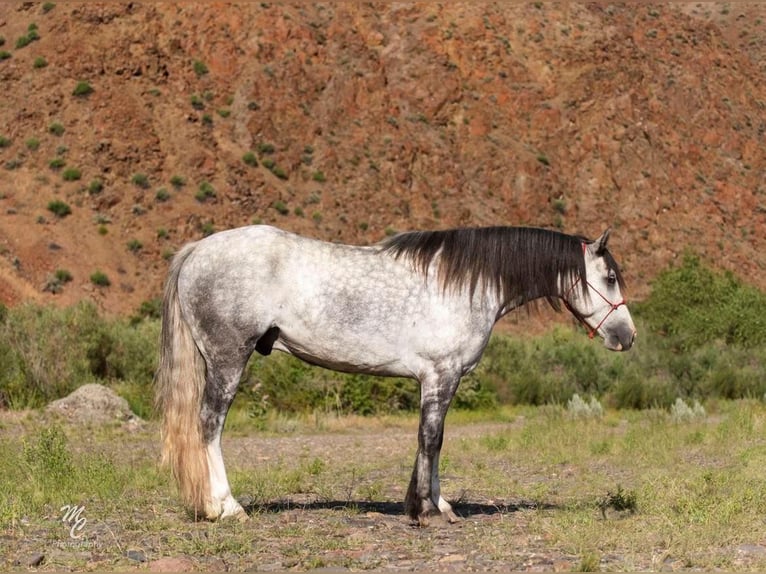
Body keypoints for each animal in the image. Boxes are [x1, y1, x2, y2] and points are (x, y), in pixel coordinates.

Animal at [156, 224, 636, 528]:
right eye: (610, 277)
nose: (627, 337)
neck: (463, 285)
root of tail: (197, 250)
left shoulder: (442, 380)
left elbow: (435, 441)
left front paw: (441, 506)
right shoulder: (440, 376)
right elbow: (431, 439)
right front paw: (424, 510)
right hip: (227, 360)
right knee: (209, 426)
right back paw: (225, 507)